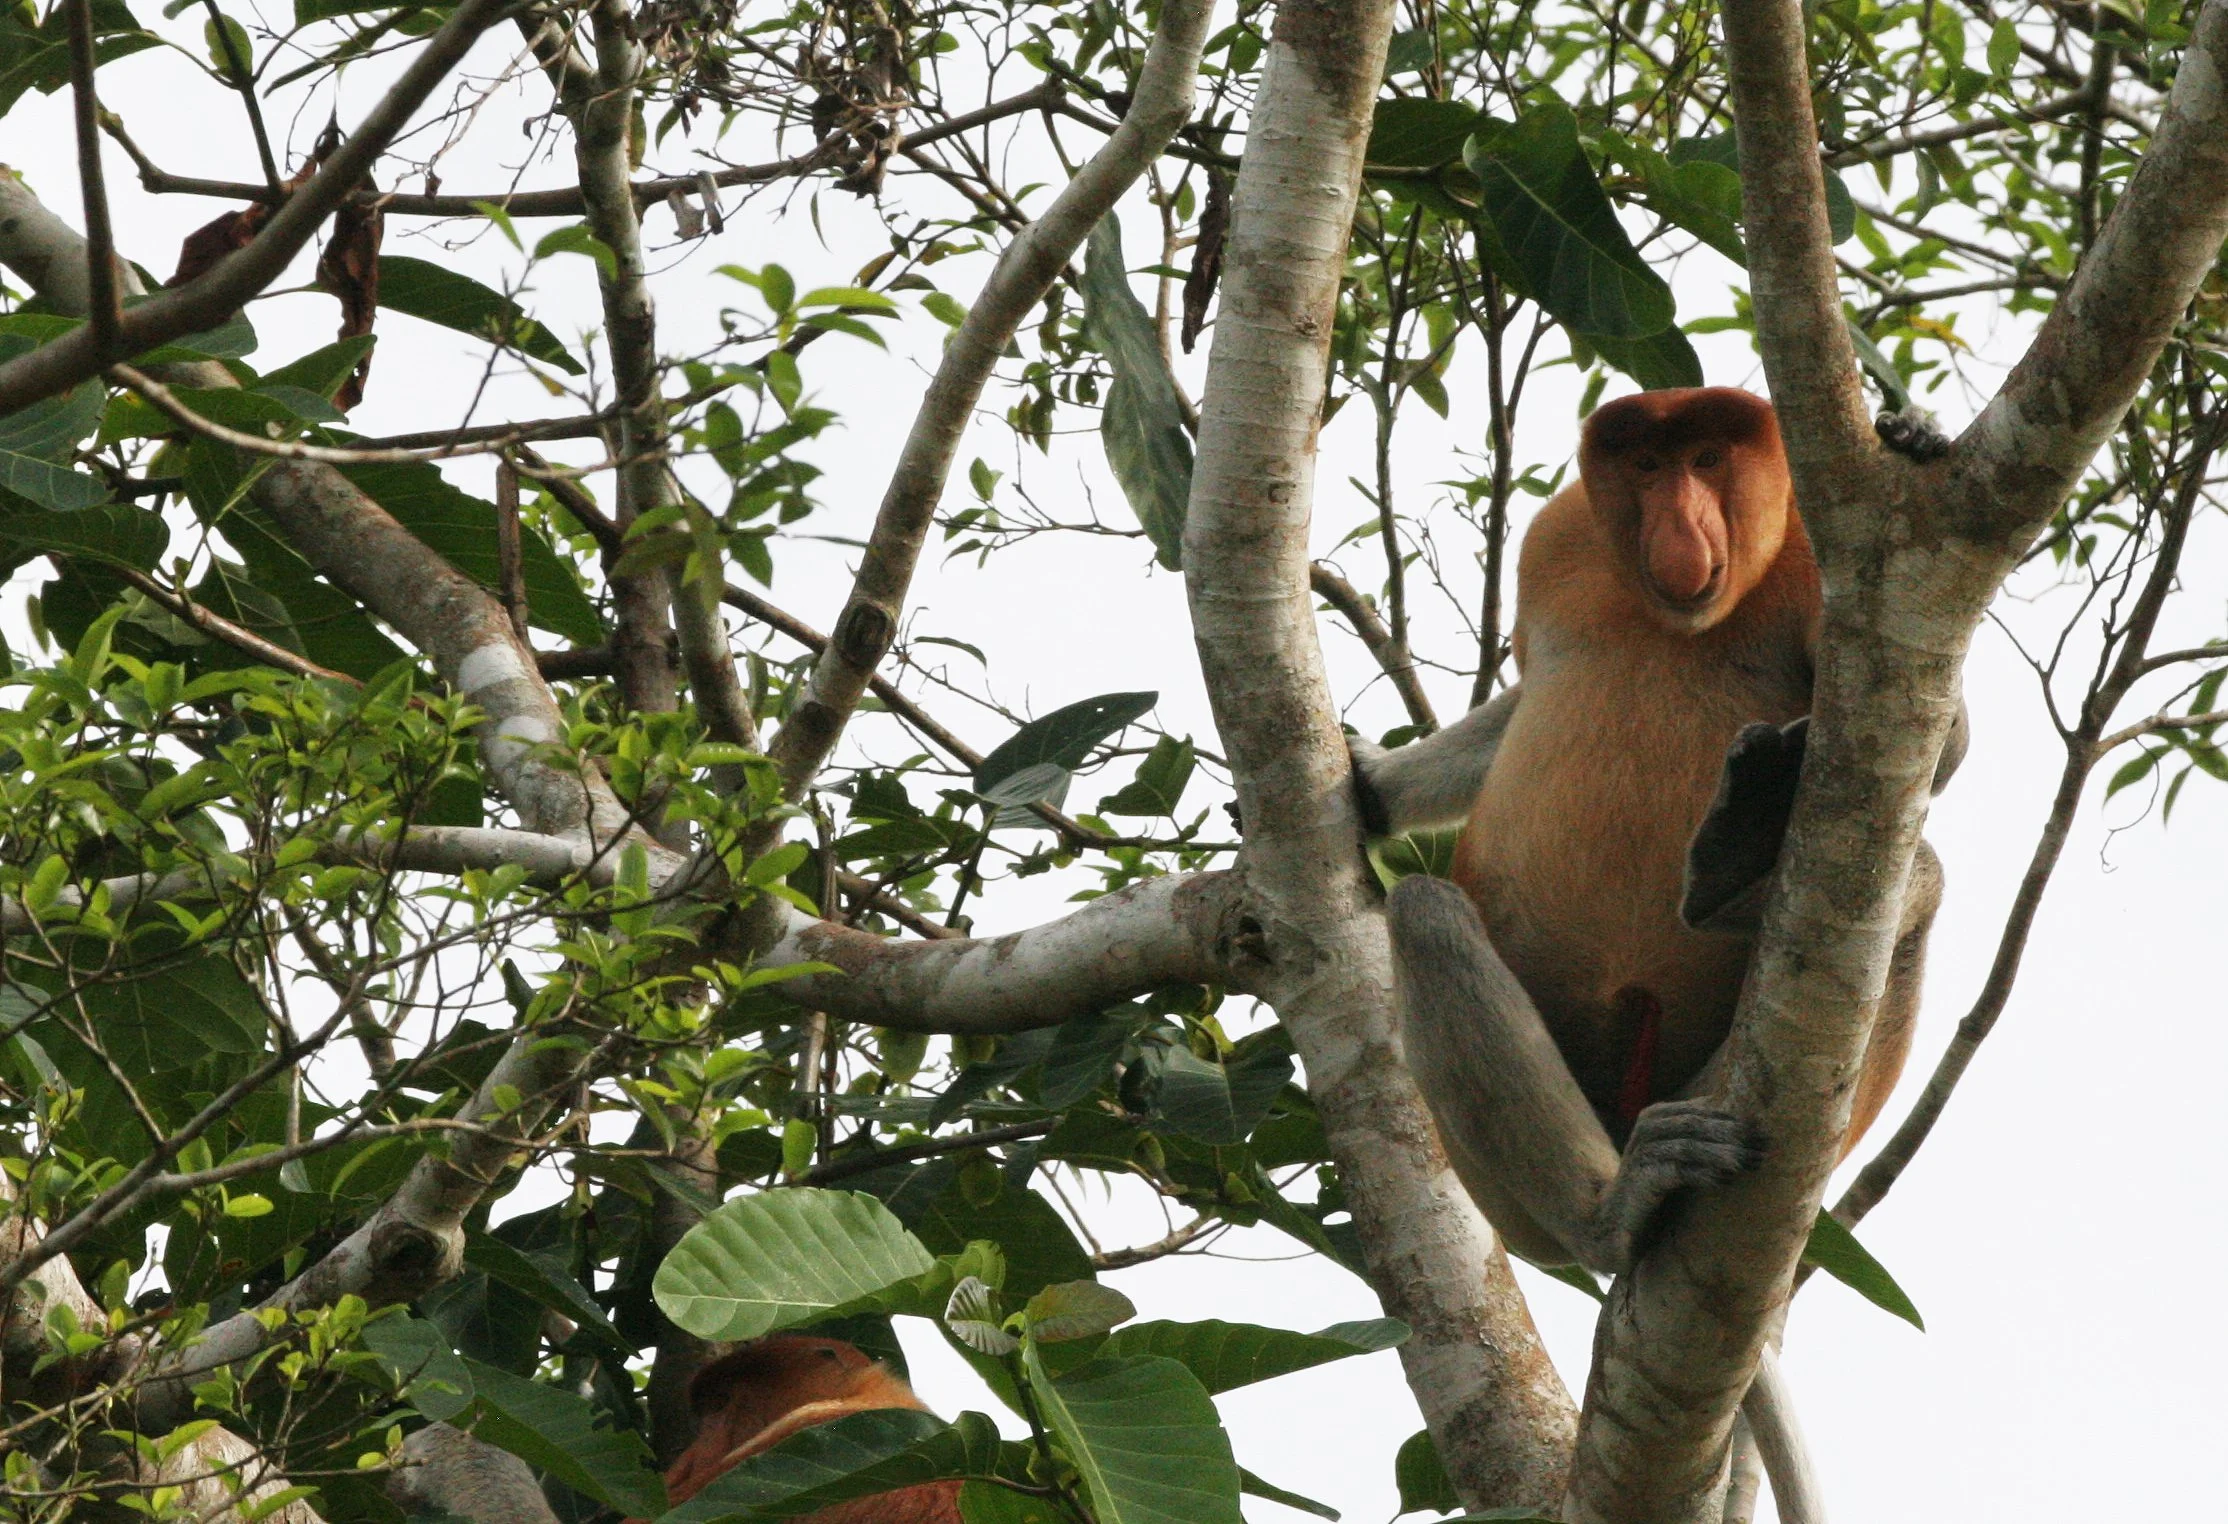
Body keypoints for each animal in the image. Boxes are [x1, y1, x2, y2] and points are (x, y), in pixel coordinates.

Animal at [1349, 386, 1962, 1278]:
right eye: (1647, 466)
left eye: (1707, 460)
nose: (1681, 531)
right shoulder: (1557, 534)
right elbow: (1519, 703)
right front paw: (1374, 786)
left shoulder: (1831, 555)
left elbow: (1938, 734)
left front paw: (1913, 437)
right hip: (1496, 1198)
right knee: (1428, 917)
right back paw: (1610, 1213)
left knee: (1914, 882)